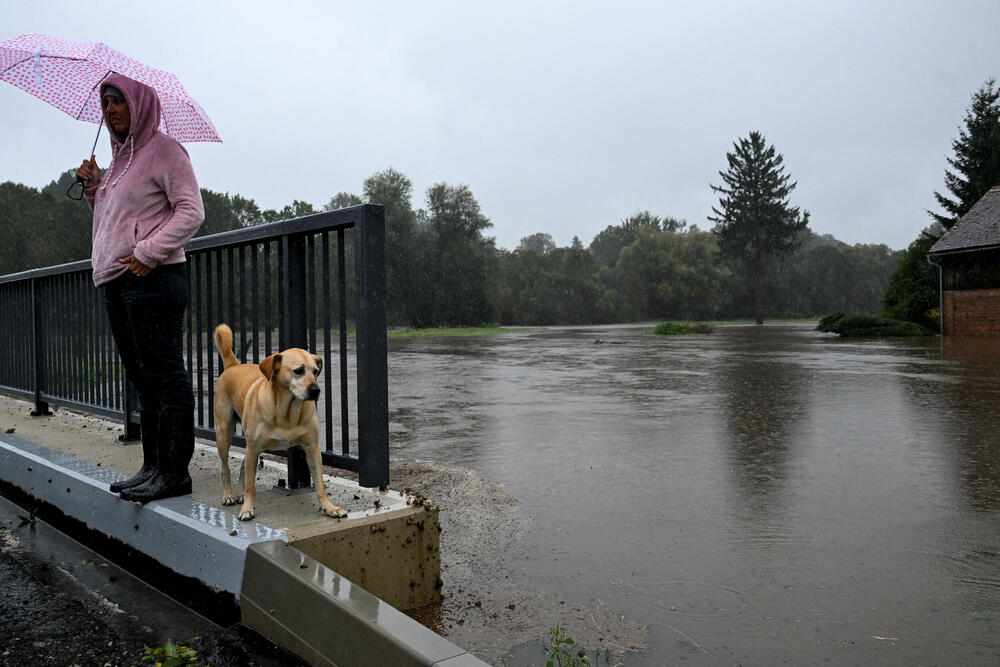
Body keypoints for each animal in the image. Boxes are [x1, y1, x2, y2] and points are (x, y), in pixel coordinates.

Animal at [214, 324, 348, 520]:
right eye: (298, 370)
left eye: (315, 371)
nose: (316, 390)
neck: (287, 412)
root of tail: (234, 365)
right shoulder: (253, 448)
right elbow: (251, 486)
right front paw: (247, 509)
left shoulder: (312, 449)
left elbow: (321, 484)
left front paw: (329, 507)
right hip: (224, 434)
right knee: (226, 468)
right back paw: (228, 495)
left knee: (243, 466)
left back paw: (238, 493)